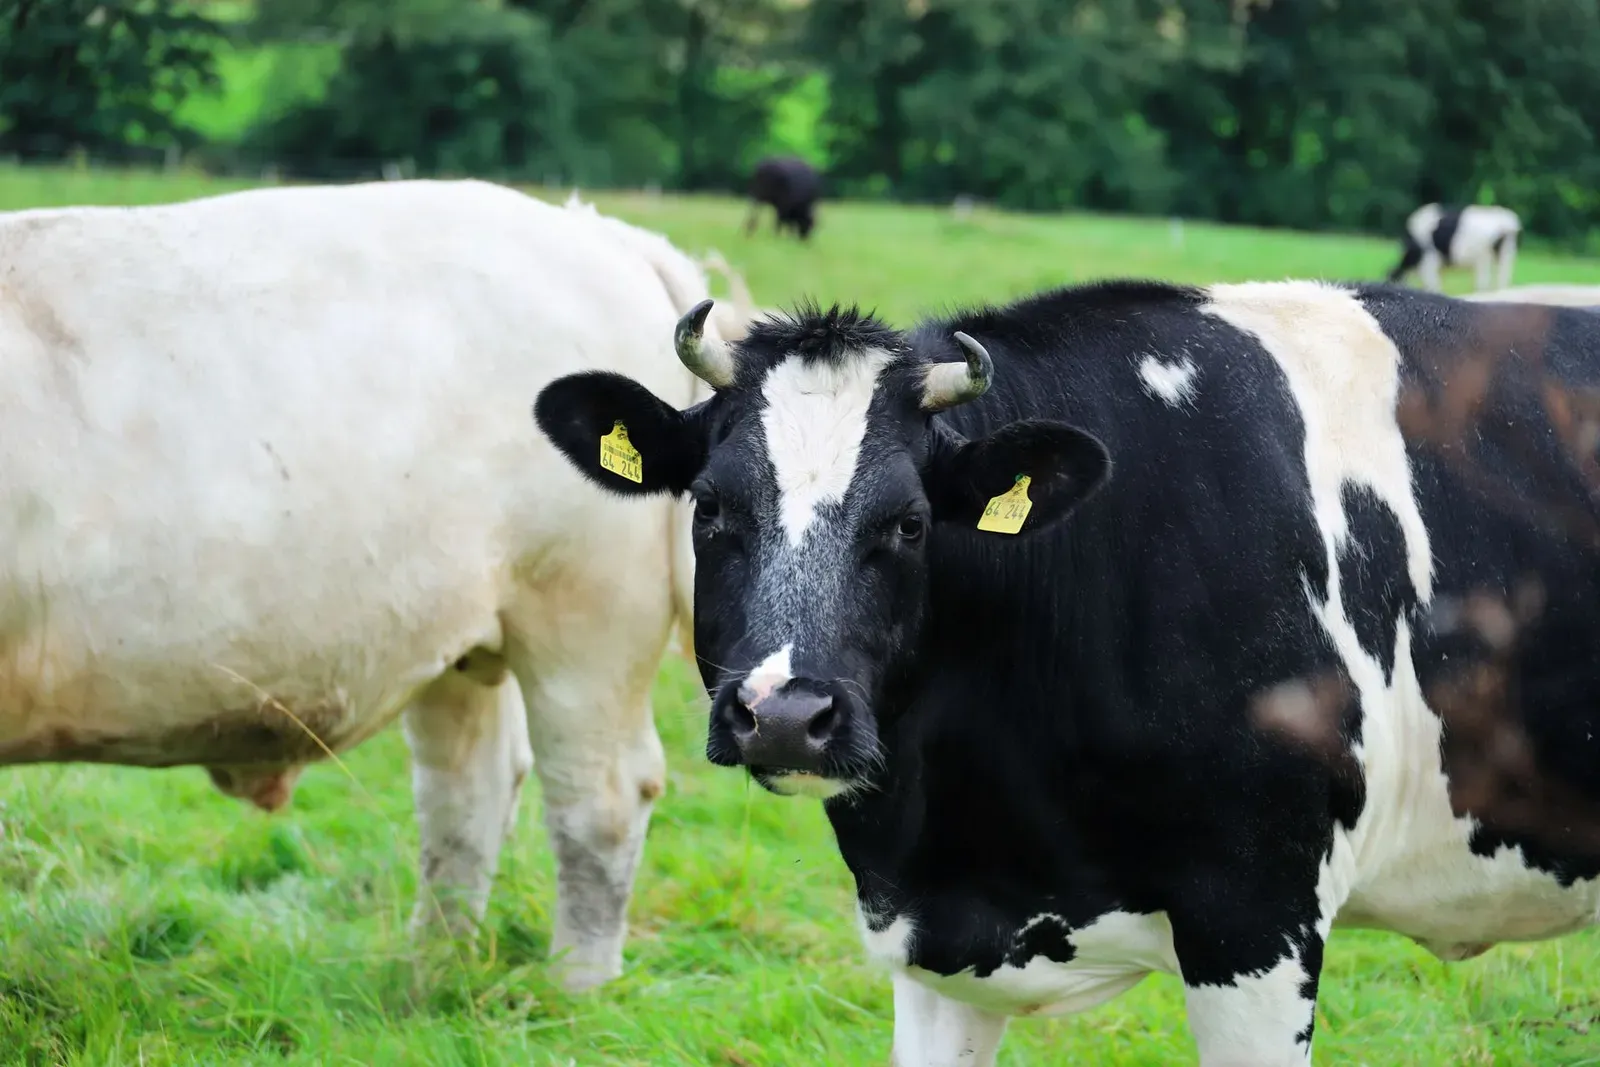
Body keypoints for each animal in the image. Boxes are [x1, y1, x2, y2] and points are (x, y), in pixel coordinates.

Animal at [0, 178, 715, 992]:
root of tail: (595, 232)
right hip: (462, 631)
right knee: (467, 792)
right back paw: (432, 973)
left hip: (585, 620)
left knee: (600, 798)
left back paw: (572, 988)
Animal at [1387, 203, 1521, 292]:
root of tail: (1506, 222)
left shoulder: (1429, 264)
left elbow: (1433, 286)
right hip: (1506, 255)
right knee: (1502, 282)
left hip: (1483, 259)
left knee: (1483, 285)